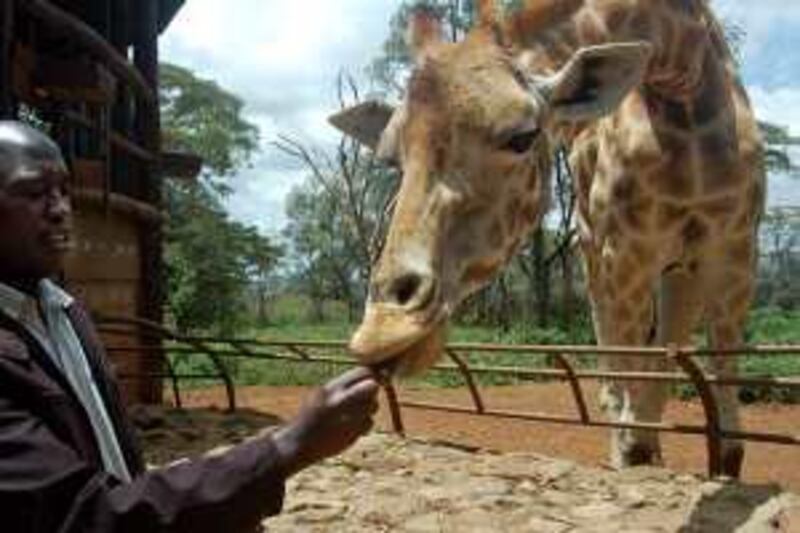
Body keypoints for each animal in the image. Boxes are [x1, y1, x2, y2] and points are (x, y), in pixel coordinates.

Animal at [330, 0, 764, 476]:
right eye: (391, 158)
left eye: (522, 137)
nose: (383, 331)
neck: (682, 86)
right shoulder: (624, 253)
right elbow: (631, 432)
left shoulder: (736, 250)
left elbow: (730, 444)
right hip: (600, 257)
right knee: (618, 390)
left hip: (676, 267)